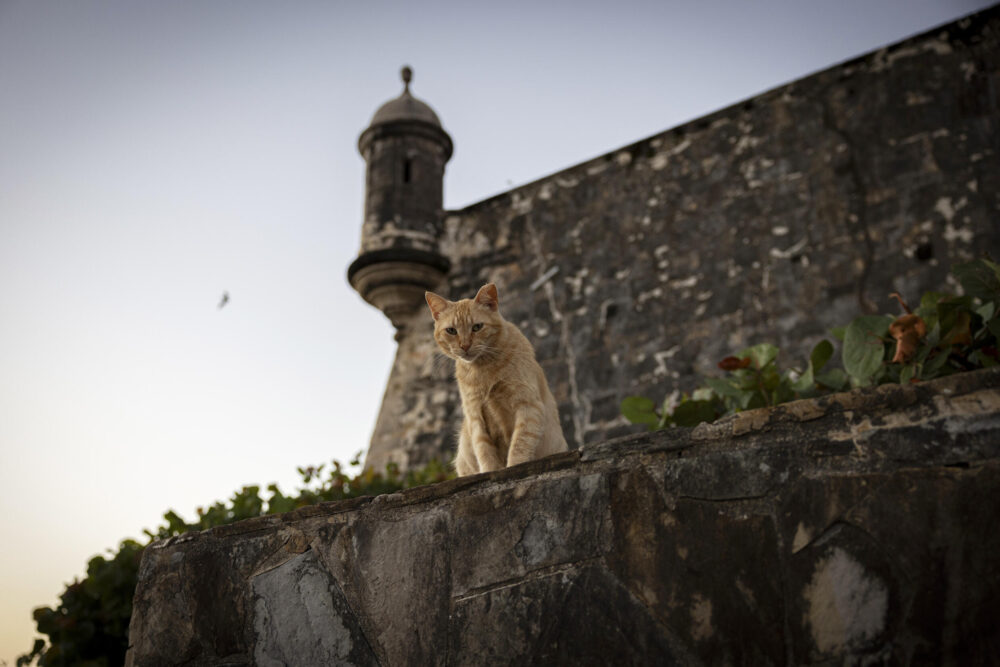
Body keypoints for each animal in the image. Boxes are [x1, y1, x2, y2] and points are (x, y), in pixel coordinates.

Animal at [424, 284, 572, 478]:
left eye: (477, 327)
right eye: (451, 331)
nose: (465, 346)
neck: (483, 368)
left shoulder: (528, 406)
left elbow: (519, 445)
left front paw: (514, 466)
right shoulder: (475, 417)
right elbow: (485, 452)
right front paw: (489, 472)